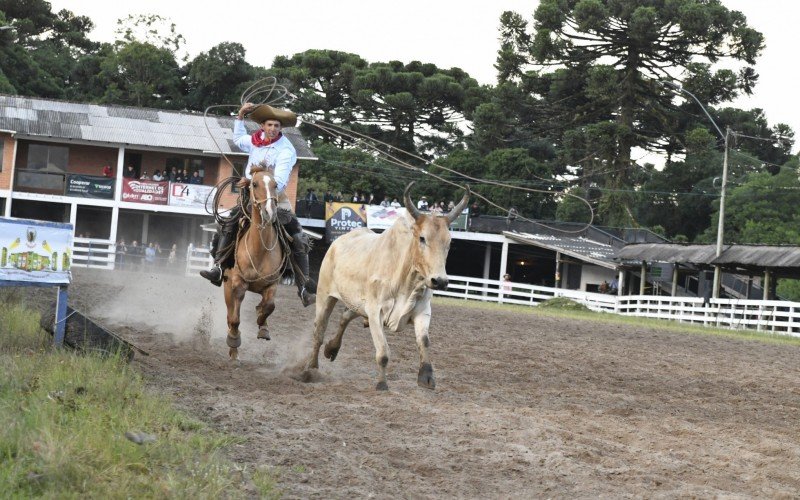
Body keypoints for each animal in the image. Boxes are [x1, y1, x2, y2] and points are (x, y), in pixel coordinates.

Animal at [222, 167, 288, 360]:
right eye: (255, 184)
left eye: (275, 185)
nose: (269, 212)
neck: (260, 251)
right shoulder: (238, 285)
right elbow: (235, 319)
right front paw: (234, 340)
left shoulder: (272, 284)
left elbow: (269, 306)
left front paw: (263, 326)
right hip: (227, 287)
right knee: (230, 316)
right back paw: (233, 349)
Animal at [304, 182, 468, 388]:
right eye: (422, 238)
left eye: (449, 242)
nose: (440, 281)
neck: (406, 280)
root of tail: (336, 242)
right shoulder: (375, 311)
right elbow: (382, 351)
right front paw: (382, 384)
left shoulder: (423, 311)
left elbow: (424, 341)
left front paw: (426, 377)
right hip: (325, 295)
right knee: (319, 331)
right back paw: (311, 368)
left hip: (357, 303)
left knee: (345, 316)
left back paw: (331, 349)